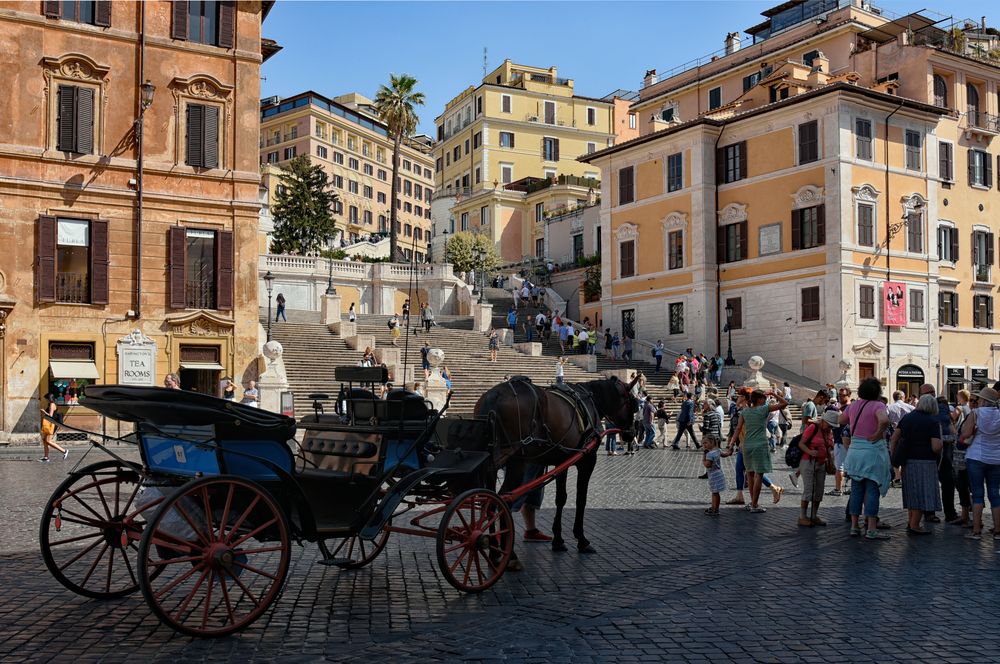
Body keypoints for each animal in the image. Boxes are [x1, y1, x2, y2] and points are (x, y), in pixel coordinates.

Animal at [472, 376, 636, 552]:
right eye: (634, 404)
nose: (631, 434)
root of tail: (493, 396)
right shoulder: (587, 460)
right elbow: (581, 498)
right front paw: (582, 539)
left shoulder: (562, 461)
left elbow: (561, 498)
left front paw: (558, 539)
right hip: (516, 462)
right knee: (503, 499)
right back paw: (506, 553)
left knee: (489, 502)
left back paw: (493, 547)